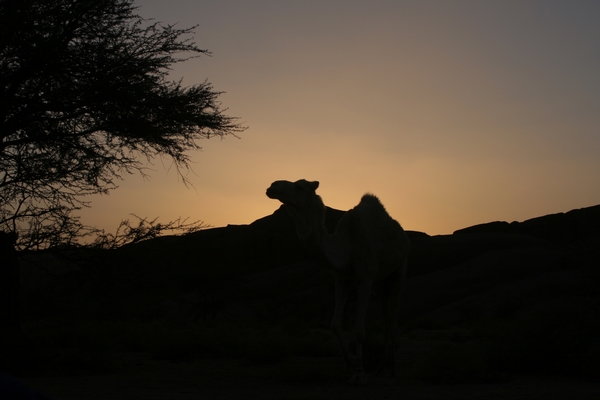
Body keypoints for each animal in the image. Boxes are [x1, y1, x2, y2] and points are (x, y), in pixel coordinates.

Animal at [266, 179, 410, 385]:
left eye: (300, 186)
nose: (273, 186)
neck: (346, 246)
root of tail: (402, 233)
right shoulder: (341, 280)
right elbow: (334, 324)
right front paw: (350, 362)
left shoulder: (365, 280)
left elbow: (359, 331)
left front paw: (359, 373)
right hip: (380, 282)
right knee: (385, 318)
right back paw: (383, 368)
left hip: (400, 268)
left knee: (393, 319)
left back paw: (395, 370)